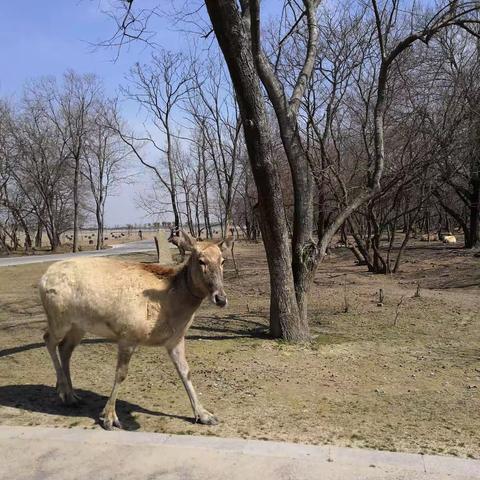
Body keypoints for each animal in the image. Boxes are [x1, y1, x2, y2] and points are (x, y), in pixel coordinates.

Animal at [39, 231, 229, 430]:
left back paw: (71, 395)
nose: (221, 298)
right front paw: (109, 418)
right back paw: (63, 391)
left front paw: (205, 415)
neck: (172, 306)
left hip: (78, 326)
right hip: (58, 318)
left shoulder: (175, 339)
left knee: (65, 348)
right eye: (201, 260)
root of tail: (43, 278)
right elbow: (121, 374)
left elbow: (185, 371)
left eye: (223, 260)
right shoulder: (127, 335)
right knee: (48, 339)